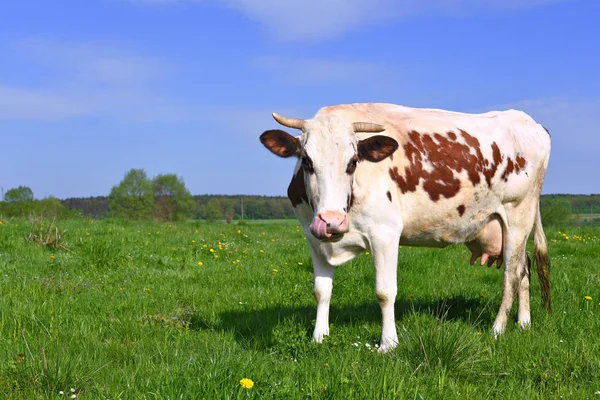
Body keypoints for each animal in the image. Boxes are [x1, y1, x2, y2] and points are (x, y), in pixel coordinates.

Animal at [260, 103, 552, 354]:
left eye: (353, 162)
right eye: (307, 161)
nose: (331, 221)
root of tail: (529, 121)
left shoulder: (385, 234)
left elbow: (385, 292)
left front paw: (388, 344)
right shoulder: (314, 238)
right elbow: (321, 291)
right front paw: (319, 337)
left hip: (518, 214)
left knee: (511, 274)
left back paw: (498, 329)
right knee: (524, 268)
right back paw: (523, 323)